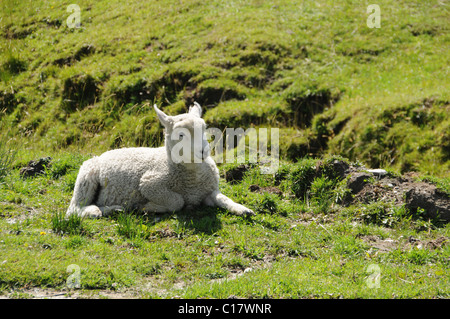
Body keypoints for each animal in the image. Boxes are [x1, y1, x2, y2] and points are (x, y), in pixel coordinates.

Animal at [64, 104, 253, 219]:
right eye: (181, 135)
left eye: (204, 128)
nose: (203, 151)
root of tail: (102, 154)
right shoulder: (150, 183)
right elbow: (177, 201)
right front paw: (147, 207)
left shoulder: (210, 190)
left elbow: (224, 199)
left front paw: (243, 209)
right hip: (87, 175)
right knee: (74, 209)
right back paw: (99, 210)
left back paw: (115, 209)